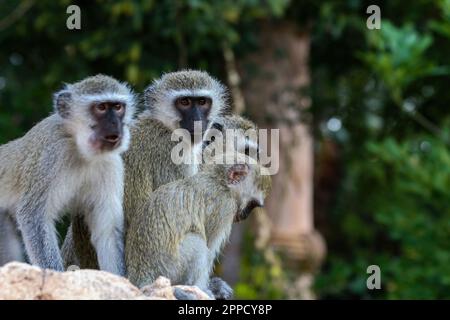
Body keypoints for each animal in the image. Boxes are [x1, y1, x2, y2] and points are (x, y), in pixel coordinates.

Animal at [0, 75, 135, 276]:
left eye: (118, 107)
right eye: (101, 107)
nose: (115, 124)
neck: (79, 147)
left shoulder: (111, 165)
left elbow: (107, 230)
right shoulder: (52, 155)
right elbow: (34, 216)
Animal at [124, 157, 270, 298]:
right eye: (252, 205)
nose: (245, 216)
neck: (219, 181)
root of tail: (140, 274)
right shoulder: (225, 207)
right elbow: (209, 247)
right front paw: (206, 289)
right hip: (168, 267)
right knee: (196, 241)